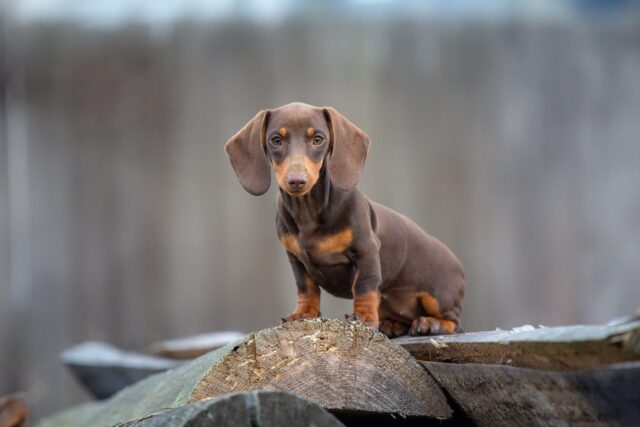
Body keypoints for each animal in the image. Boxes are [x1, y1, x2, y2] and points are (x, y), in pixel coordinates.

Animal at [225, 103, 464, 338]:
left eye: (318, 139)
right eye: (276, 140)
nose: (297, 181)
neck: (308, 211)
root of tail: (459, 267)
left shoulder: (366, 250)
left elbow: (365, 287)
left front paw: (364, 318)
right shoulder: (295, 258)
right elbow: (306, 288)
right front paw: (303, 313)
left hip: (438, 296)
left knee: (454, 322)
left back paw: (430, 324)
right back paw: (392, 325)